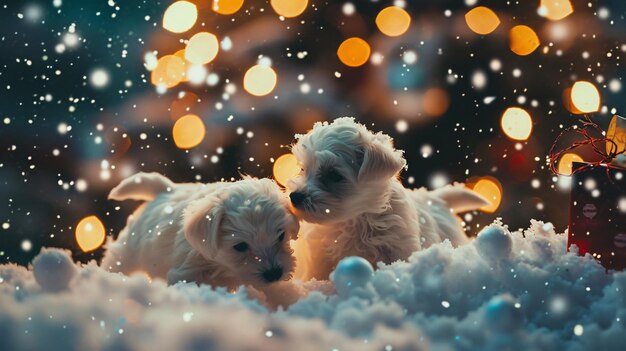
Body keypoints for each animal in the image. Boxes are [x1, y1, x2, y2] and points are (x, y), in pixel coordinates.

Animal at [100, 173, 300, 288]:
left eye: (281, 236)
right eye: (240, 246)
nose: (274, 274)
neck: (222, 266)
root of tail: (166, 189)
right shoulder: (185, 272)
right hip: (127, 252)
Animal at [288, 118, 488, 280]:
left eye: (334, 175)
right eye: (303, 169)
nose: (294, 197)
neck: (354, 220)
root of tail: (436, 198)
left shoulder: (399, 247)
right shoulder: (321, 257)